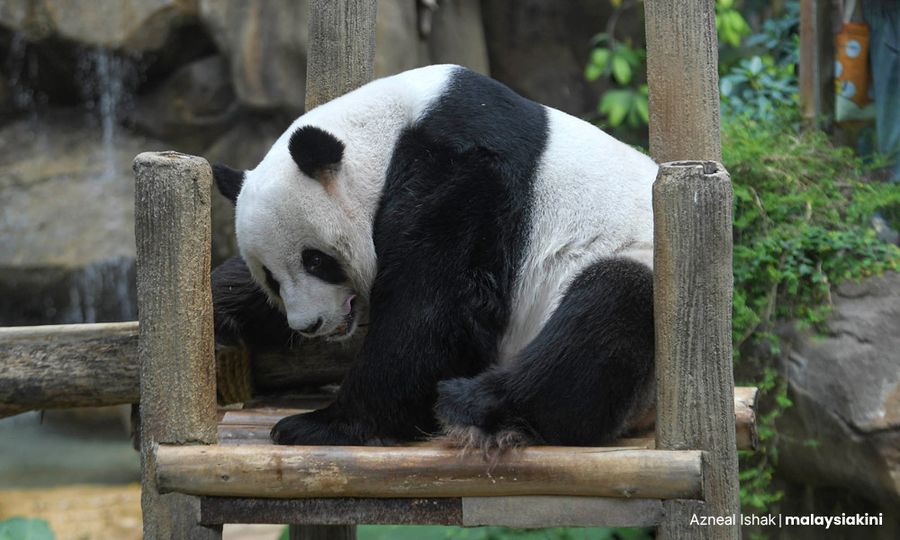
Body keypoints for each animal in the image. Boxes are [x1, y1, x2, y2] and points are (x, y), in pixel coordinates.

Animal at [212, 64, 658, 450]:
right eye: (271, 278)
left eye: (316, 260)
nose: (309, 325)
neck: (386, 133)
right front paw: (218, 309)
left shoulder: (464, 173)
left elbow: (435, 307)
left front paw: (326, 424)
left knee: (606, 312)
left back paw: (471, 402)